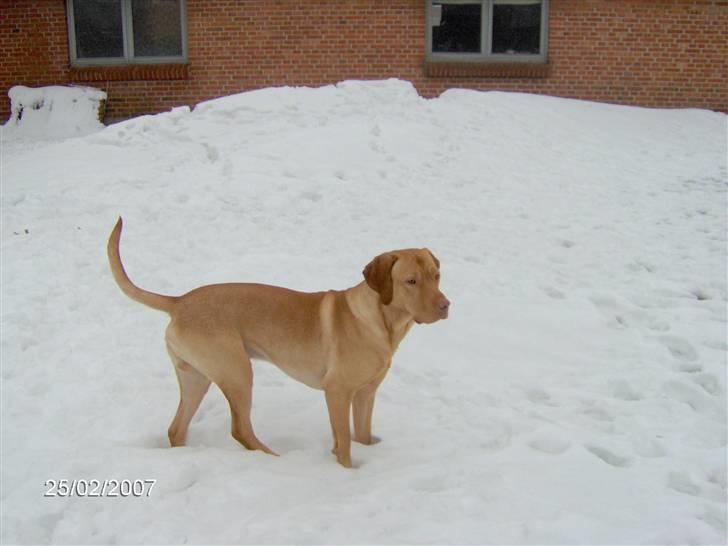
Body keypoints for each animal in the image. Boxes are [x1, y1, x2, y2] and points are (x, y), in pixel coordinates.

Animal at [106, 219, 450, 466]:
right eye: (411, 281)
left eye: (436, 275)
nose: (446, 306)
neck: (381, 322)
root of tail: (178, 302)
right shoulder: (337, 392)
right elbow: (344, 445)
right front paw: (347, 472)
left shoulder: (365, 393)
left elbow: (361, 435)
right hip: (237, 372)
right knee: (240, 429)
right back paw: (273, 459)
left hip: (196, 378)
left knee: (176, 428)